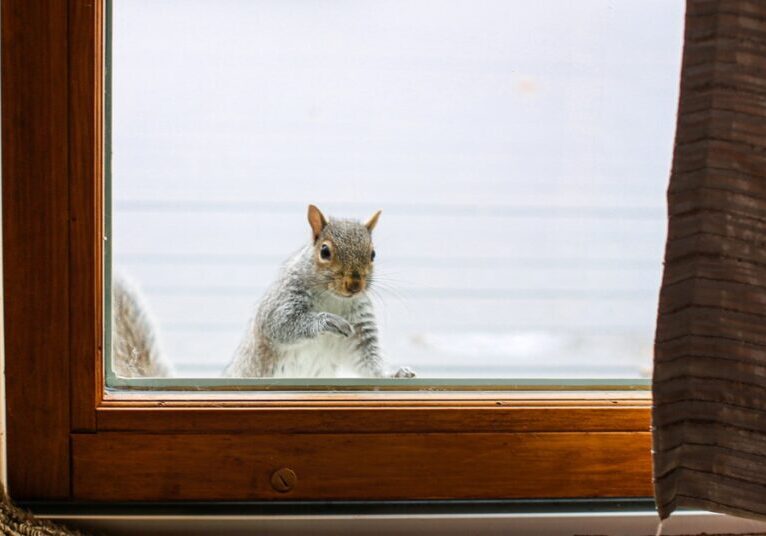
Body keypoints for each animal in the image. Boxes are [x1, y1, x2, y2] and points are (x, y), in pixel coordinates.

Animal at [224, 205, 415, 379]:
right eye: (324, 251)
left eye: (373, 254)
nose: (355, 285)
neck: (333, 298)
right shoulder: (284, 298)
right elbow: (280, 323)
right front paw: (329, 321)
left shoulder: (360, 324)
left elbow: (365, 358)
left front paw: (393, 374)